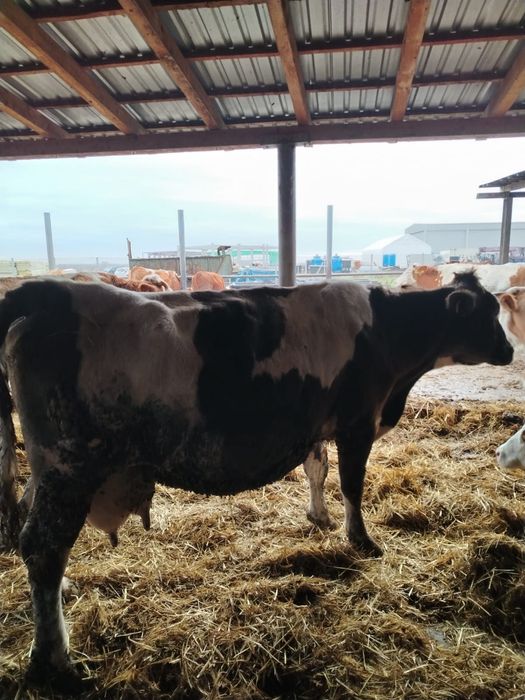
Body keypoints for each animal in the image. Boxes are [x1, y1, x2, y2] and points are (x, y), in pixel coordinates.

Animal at [0, 272, 513, 692]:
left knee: (28, 521)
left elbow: (317, 470)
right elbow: (352, 483)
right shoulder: (357, 422)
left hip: (48, 468)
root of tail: (46, 292)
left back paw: (65, 593)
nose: (509, 350)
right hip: (70, 464)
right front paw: (361, 540)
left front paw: (319, 517)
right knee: (43, 545)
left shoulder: (317, 425)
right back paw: (54, 660)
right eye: (489, 314)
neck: (386, 332)